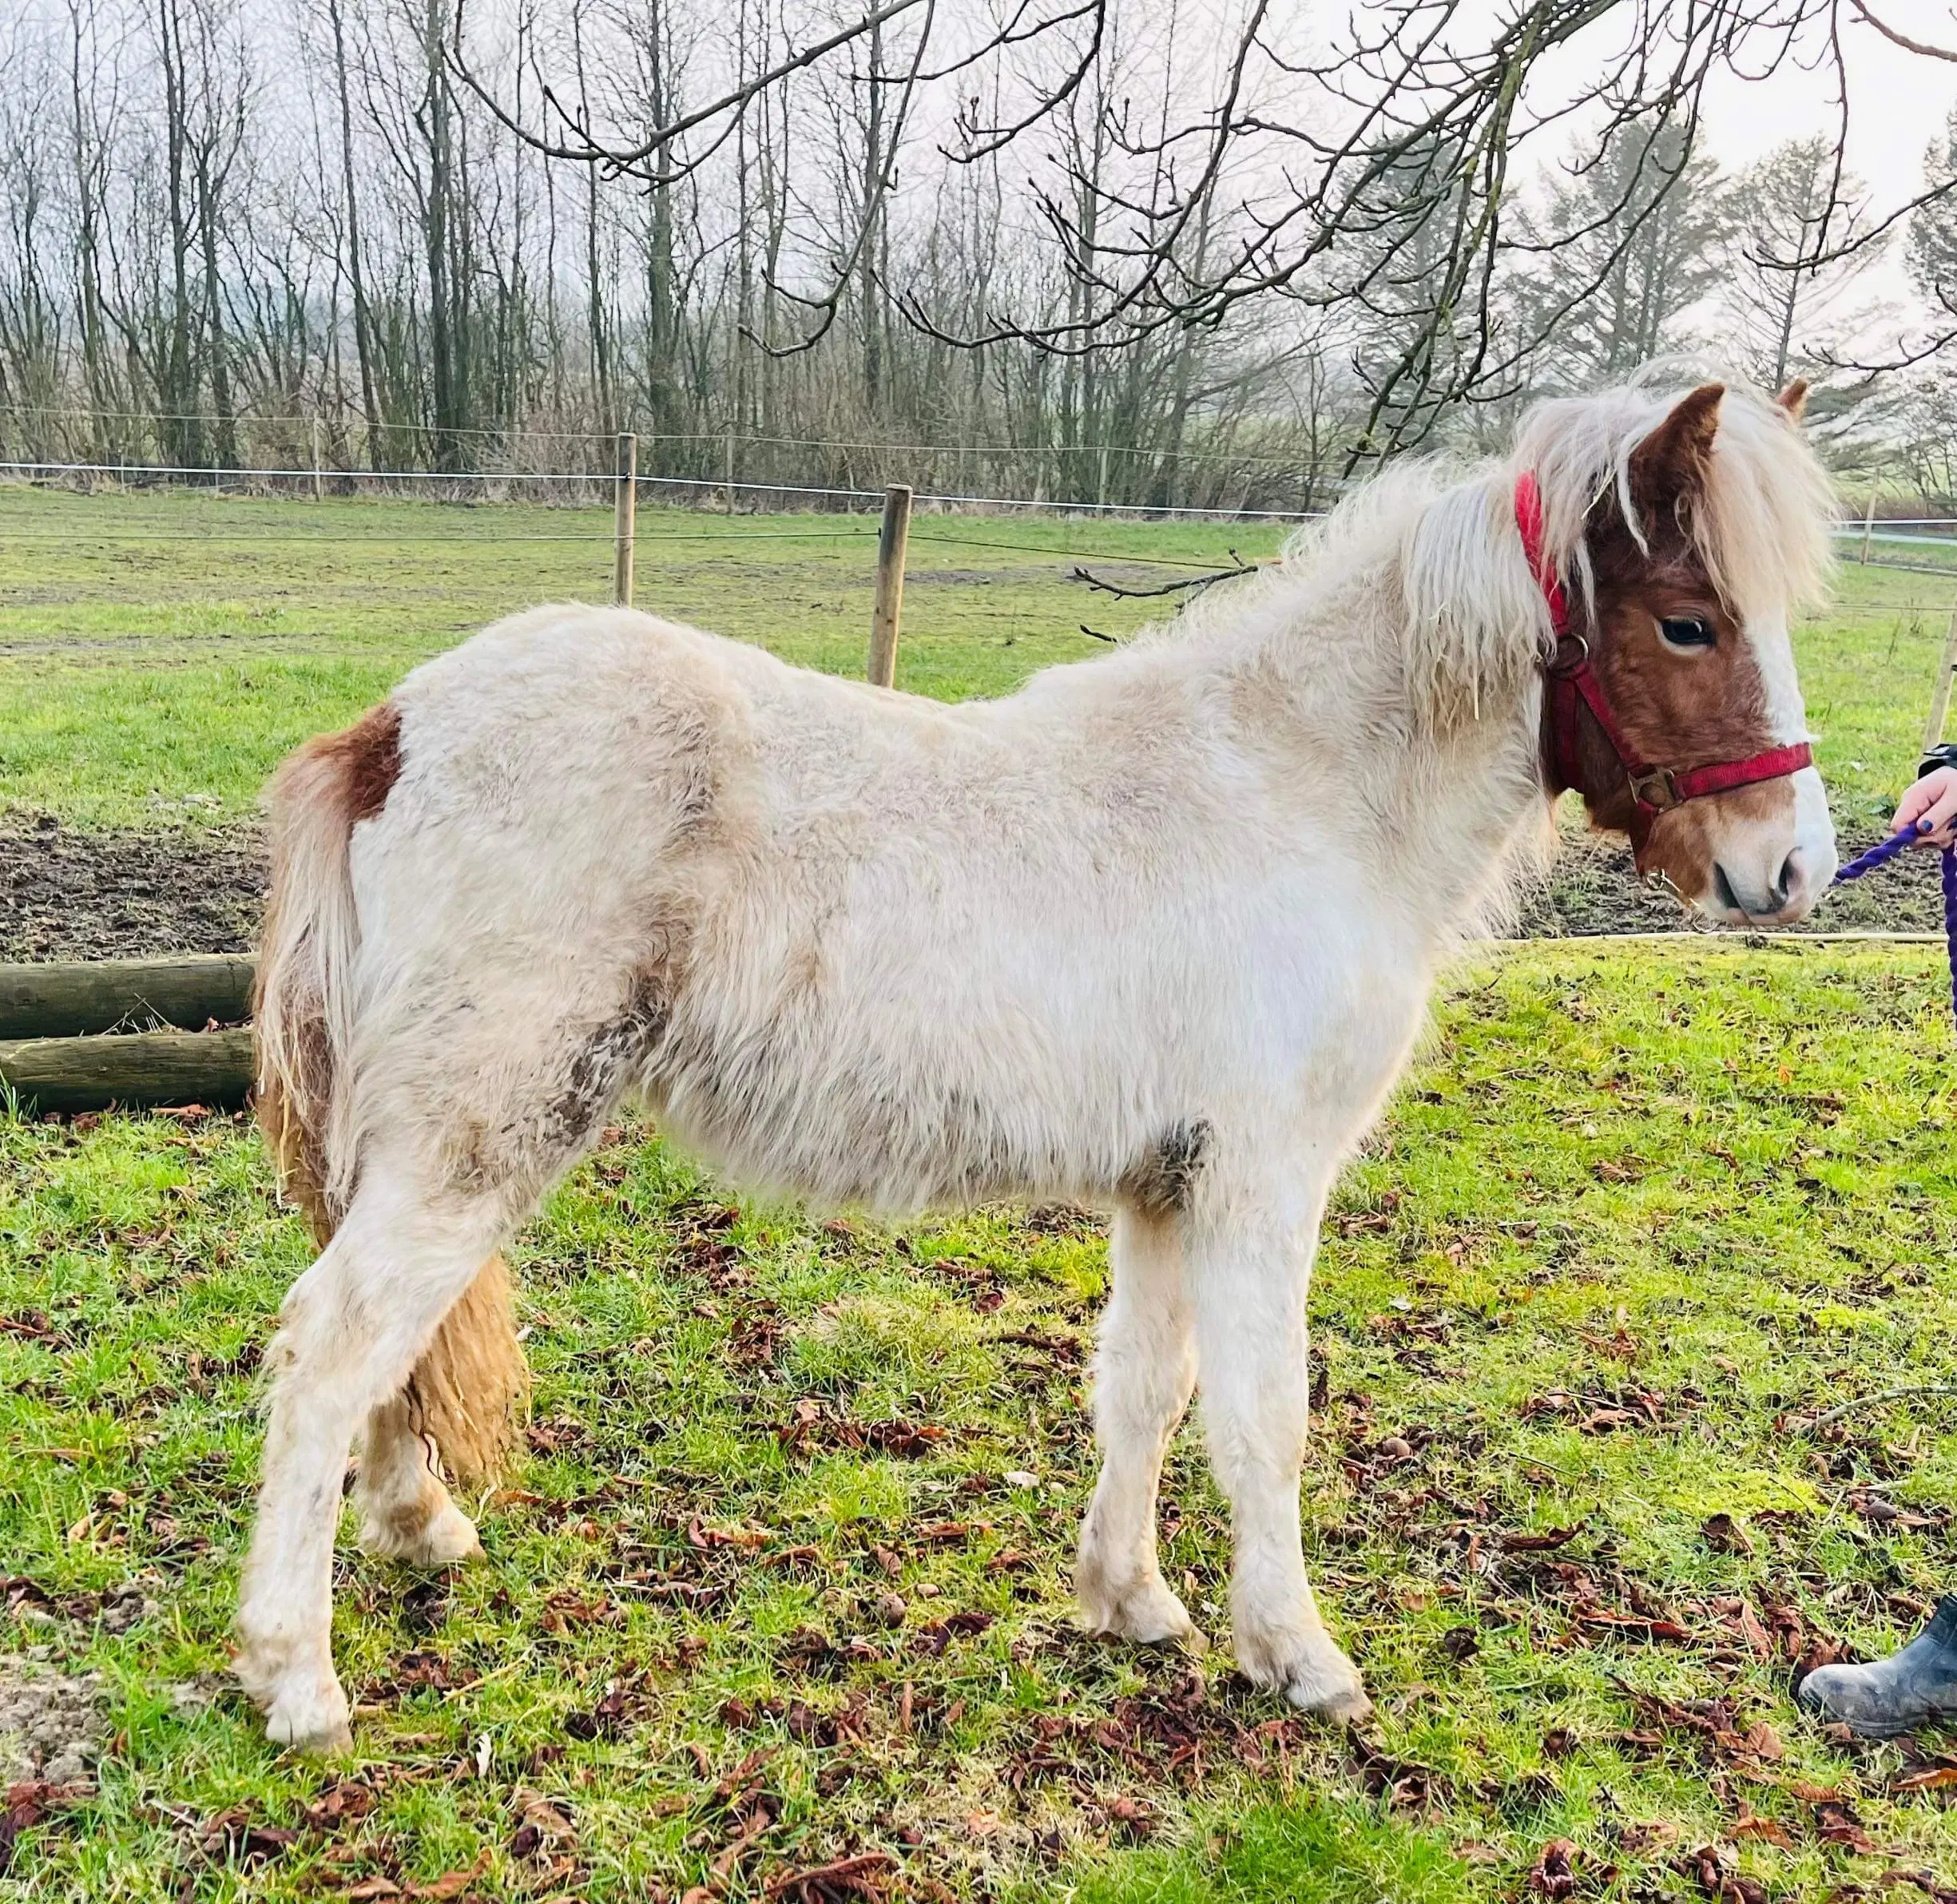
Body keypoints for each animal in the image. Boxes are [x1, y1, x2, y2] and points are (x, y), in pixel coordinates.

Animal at [240, 363, 1832, 1745]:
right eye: (1690, 622)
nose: (1793, 868)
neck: (1298, 791)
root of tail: (394, 730)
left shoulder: (1168, 1183)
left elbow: (1147, 1386)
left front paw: (1129, 1598)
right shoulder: (1262, 1181)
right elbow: (1263, 1412)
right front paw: (1297, 1653)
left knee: (383, 1346)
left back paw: (414, 1527)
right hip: (479, 1136)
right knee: (331, 1345)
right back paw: (296, 1679)